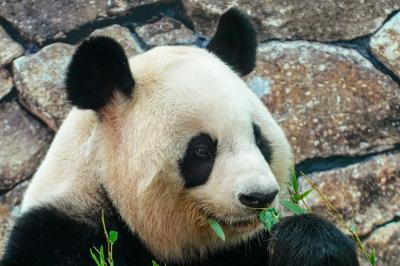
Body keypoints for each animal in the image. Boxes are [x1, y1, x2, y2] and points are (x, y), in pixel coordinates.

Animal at [2, 8, 360, 266]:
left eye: (259, 140)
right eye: (201, 150)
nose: (259, 197)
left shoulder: (242, 248)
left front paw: (308, 245)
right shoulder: (60, 234)